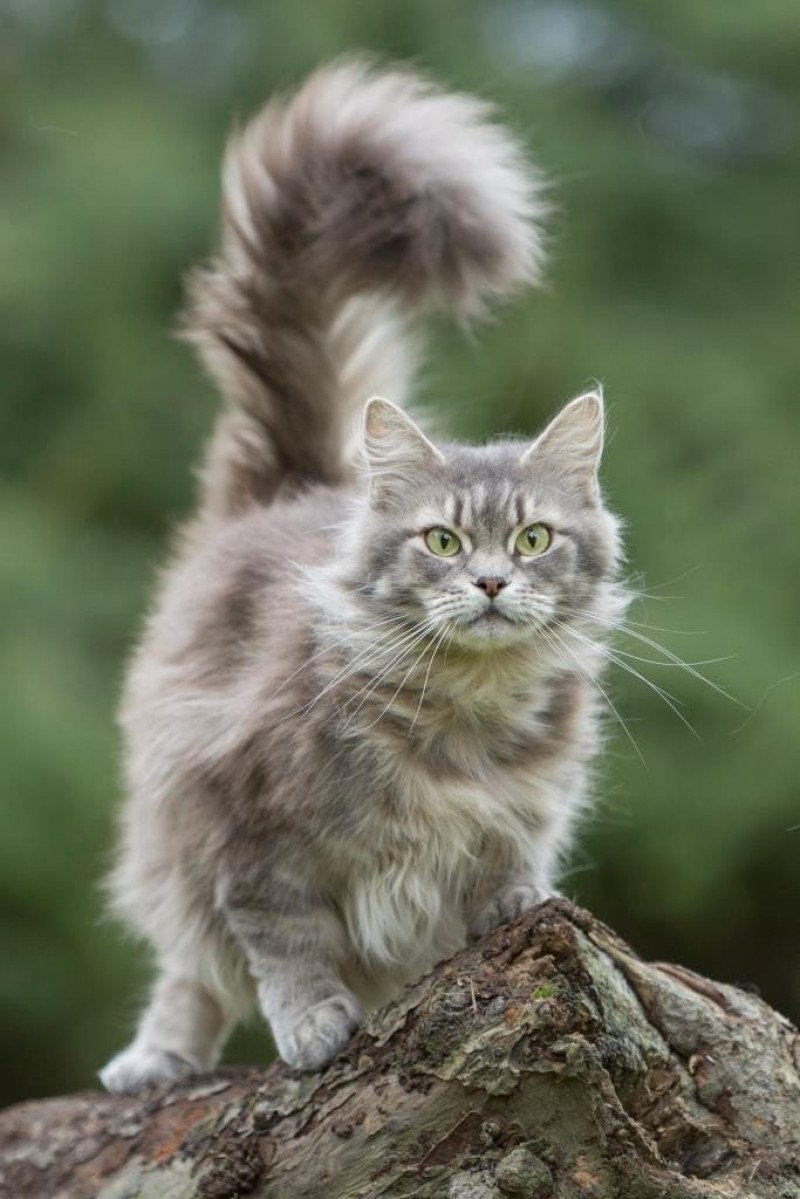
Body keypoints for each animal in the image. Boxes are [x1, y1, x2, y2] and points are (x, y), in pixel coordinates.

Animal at [100, 58, 628, 1098]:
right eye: (445, 542)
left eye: (534, 538)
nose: (493, 584)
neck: (465, 725)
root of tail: (295, 486)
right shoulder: (247, 829)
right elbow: (286, 940)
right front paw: (314, 1025)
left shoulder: (528, 805)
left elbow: (507, 856)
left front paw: (514, 899)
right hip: (173, 823)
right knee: (190, 965)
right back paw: (156, 1060)